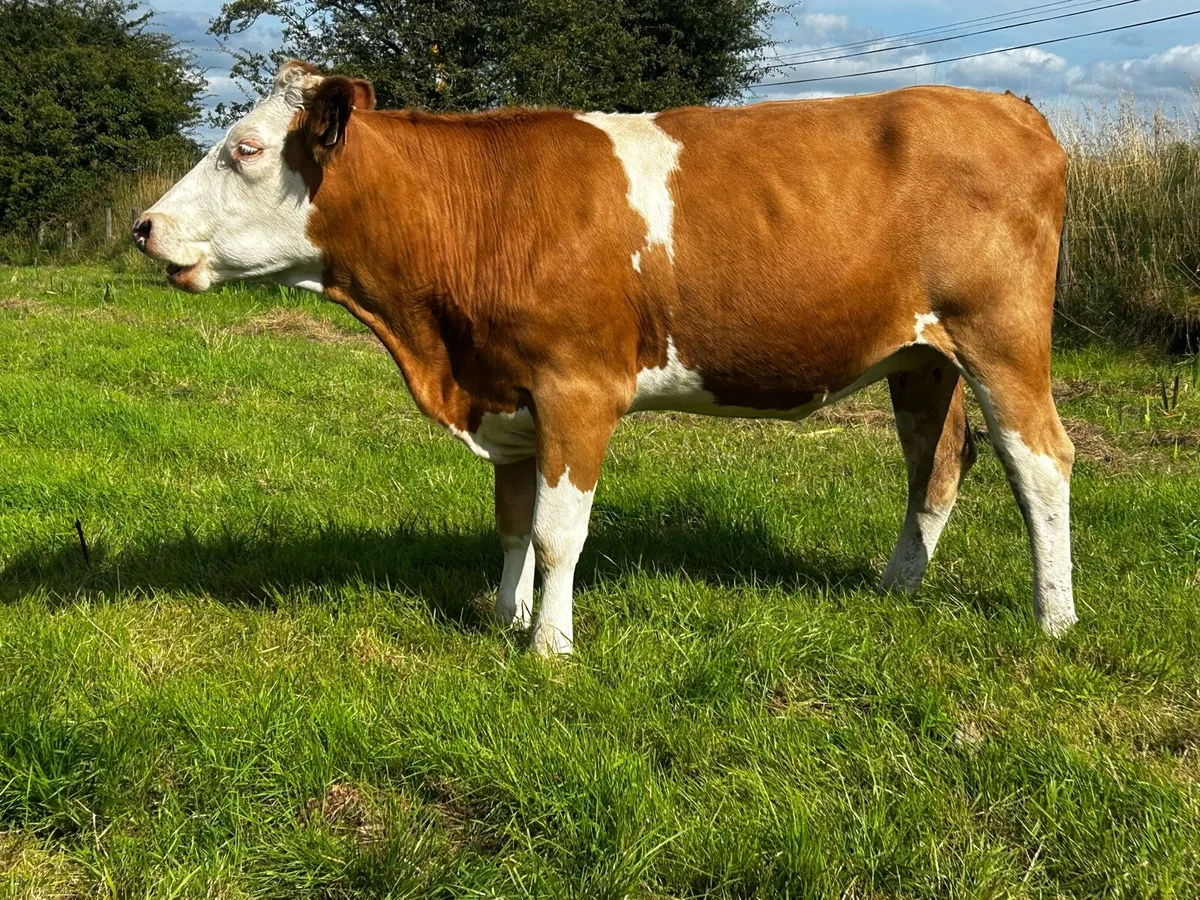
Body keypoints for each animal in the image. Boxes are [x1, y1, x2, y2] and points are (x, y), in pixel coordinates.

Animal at [134, 60, 1075, 655]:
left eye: (247, 148)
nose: (144, 226)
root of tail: (1007, 104)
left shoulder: (576, 389)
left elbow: (558, 533)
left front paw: (550, 647)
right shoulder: (509, 394)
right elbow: (512, 522)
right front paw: (505, 618)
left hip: (1000, 336)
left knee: (1040, 462)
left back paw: (1054, 622)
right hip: (921, 357)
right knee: (938, 463)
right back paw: (896, 589)